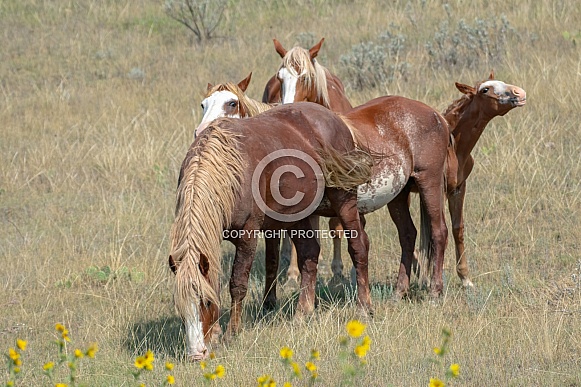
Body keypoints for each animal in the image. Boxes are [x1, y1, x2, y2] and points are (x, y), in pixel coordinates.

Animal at [168, 101, 376, 362]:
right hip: (298, 215)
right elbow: (215, 281)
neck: (226, 168)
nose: (196, 355)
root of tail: (335, 118)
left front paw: (231, 333)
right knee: (309, 254)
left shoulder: (247, 235)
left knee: (358, 247)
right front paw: (215, 334)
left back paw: (364, 308)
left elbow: (237, 284)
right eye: (181, 306)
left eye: (205, 303)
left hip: (344, 199)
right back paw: (302, 313)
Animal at [270, 38, 450, 298]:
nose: (285, 112)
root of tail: (436, 115)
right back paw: (399, 291)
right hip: (398, 194)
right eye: (280, 77)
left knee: (438, 232)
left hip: (430, 183)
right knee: (408, 235)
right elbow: (308, 253)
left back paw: (435, 291)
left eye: (306, 77)